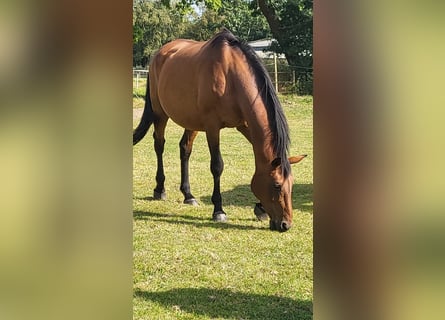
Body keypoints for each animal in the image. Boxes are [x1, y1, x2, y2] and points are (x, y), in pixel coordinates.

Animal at [133, 28, 306, 231]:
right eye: (277, 185)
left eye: (292, 184)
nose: (286, 224)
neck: (230, 76)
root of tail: (160, 54)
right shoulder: (212, 127)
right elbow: (217, 166)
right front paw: (219, 210)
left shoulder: (244, 125)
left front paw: (261, 209)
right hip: (160, 113)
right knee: (159, 145)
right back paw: (160, 189)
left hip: (191, 120)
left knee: (185, 149)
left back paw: (188, 195)